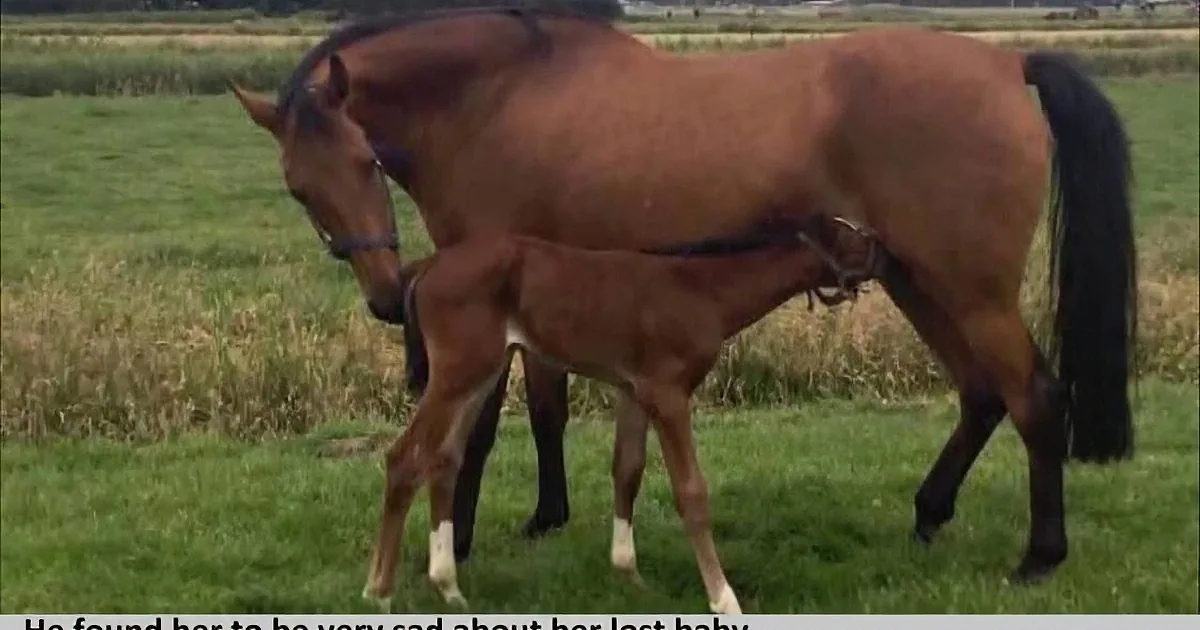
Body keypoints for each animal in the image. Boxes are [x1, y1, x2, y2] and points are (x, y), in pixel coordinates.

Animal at [363, 212, 884, 612]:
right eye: (850, 236)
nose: (881, 247)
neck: (699, 289)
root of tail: (428, 265)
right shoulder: (669, 394)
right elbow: (691, 492)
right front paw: (724, 598)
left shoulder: (635, 391)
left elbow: (627, 471)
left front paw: (629, 575)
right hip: (458, 373)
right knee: (404, 459)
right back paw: (380, 592)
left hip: (480, 374)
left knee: (444, 460)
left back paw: (449, 588)